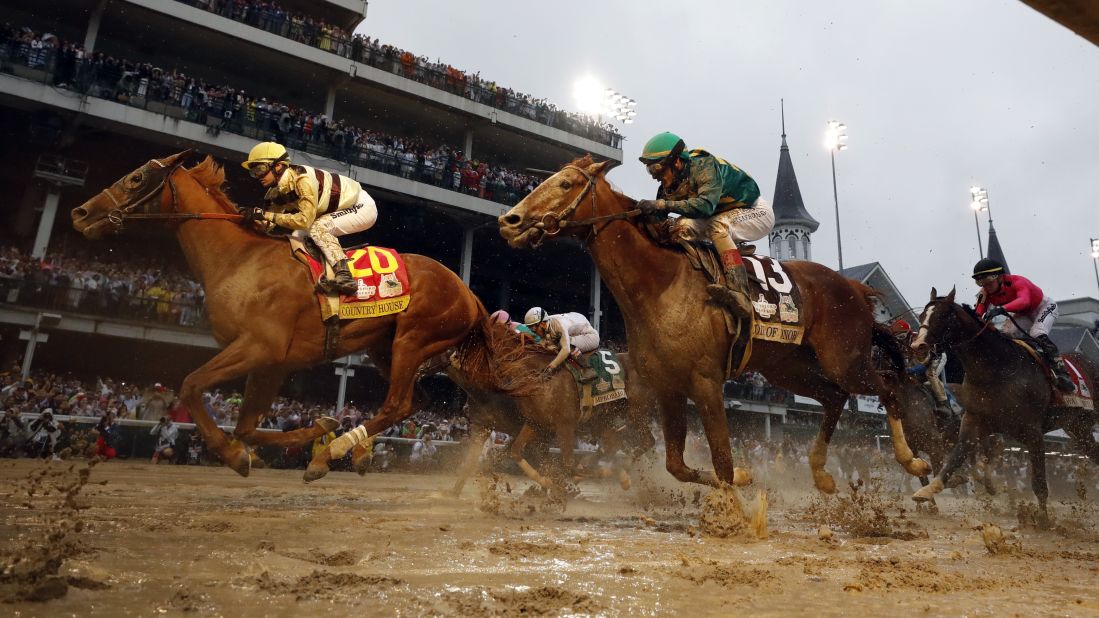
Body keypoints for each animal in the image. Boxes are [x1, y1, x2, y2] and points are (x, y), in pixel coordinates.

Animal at [501, 156, 927, 492]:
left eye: (565, 183)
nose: (509, 220)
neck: (661, 285)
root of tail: (853, 287)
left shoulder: (705, 382)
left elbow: (721, 460)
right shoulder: (667, 386)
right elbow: (676, 464)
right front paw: (743, 477)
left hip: (845, 360)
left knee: (887, 388)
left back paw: (913, 461)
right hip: (790, 369)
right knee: (835, 398)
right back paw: (821, 473)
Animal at [909, 285, 1099, 512]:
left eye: (943, 316)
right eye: (922, 315)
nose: (917, 346)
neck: (996, 368)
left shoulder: (1033, 432)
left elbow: (1039, 485)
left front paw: (1042, 519)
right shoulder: (974, 423)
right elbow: (953, 461)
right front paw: (926, 492)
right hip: (1079, 429)